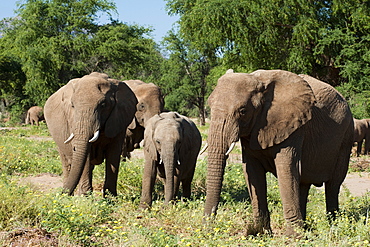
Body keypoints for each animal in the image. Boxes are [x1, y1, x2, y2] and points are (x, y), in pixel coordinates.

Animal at [205, 69, 352, 235]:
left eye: (243, 111)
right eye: (209, 106)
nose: (208, 229)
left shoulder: (293, 126)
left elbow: (286, 170)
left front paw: (292, 237)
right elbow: (252, 172)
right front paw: (262, 233)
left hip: (346, 138)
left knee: (333, 185)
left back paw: (334, 227)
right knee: (303, 183)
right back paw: (307, 228)